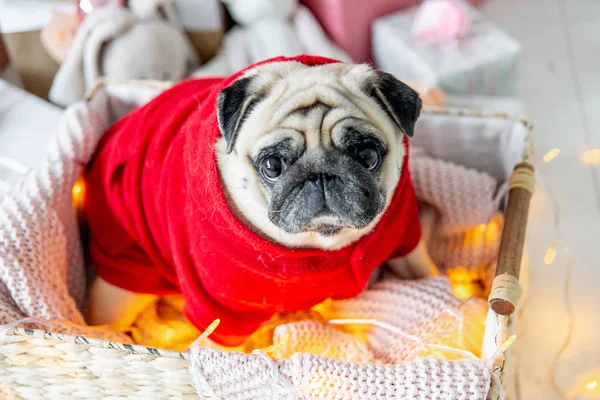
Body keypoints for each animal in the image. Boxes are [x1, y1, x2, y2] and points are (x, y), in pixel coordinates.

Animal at [86, 57, 438, 344]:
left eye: (367, 155)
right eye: (272, 166)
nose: (321, 175)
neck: (320, 244)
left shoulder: (405, 234)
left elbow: (424, 273)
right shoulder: (220, 312)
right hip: (119, 292)